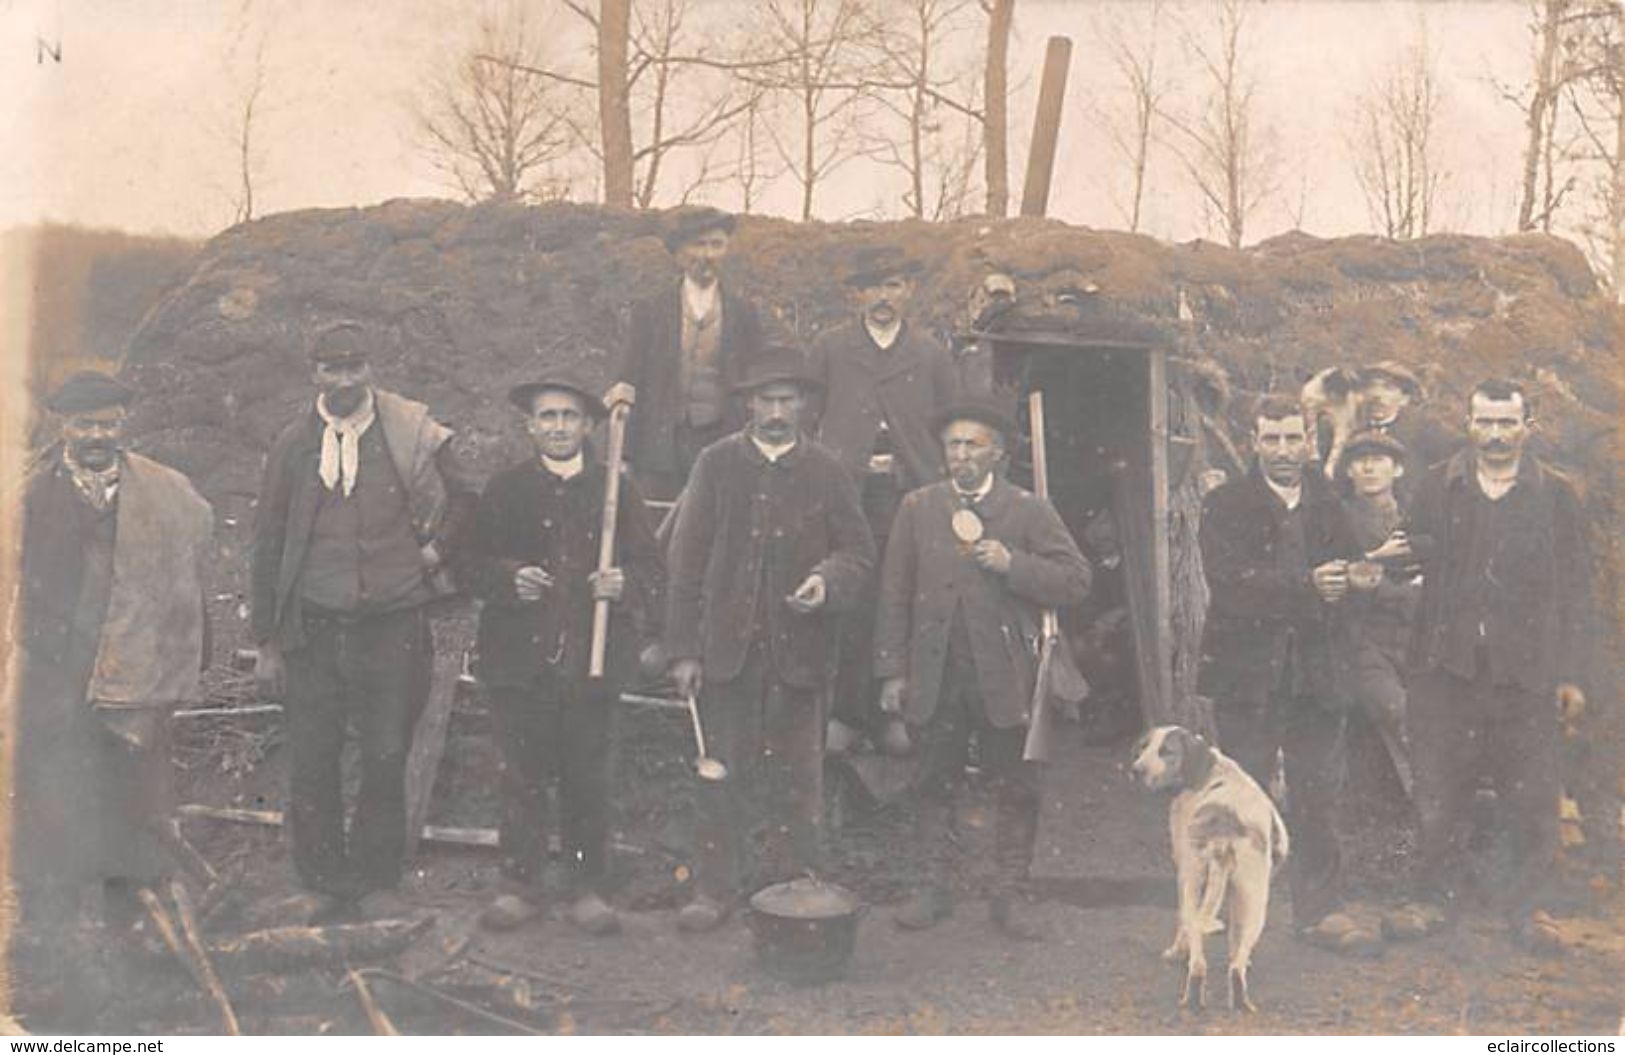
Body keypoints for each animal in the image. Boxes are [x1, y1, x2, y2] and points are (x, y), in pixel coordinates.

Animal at [1131, 725, 1293, 1014]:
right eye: (1145, 747)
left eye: (1166, 751)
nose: (1135, 770)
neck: (1210, 770)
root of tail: (1224, 831)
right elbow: (1235, 938)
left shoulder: (1184, 871)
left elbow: (1182, 923)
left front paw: (1176, 953)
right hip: (1256, 903)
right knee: (1232, 968)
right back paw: (1236, 999)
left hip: (1193, 884)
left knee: (1197, 957)